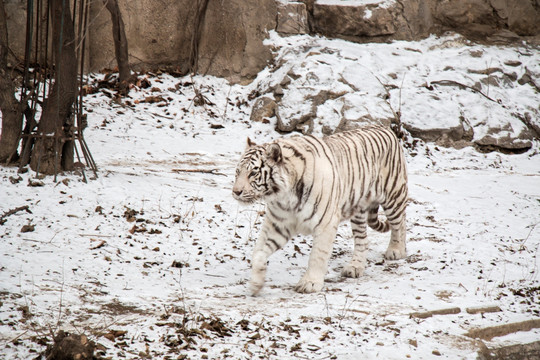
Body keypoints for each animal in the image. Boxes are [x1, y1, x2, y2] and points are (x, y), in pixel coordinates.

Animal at [233, 125, 410, 294]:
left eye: (253, 173)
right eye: (237, 171)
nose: (236, 192)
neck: (283, 196)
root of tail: (385, 127)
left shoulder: (325, 223)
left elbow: (317, 255)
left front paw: (310, 283)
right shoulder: (278, 225)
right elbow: (258, 252)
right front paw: (256, 284)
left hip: (393, 195)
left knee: (399, 224)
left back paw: (396, 251)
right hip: (358, 210)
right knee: (363, 240)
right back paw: (355, 267)